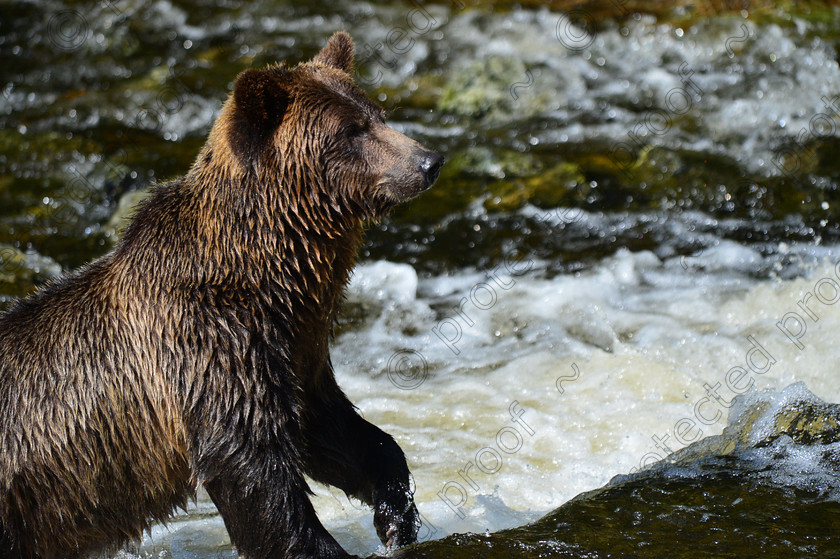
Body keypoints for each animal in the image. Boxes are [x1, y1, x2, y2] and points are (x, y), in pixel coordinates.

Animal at [0, 31, 442, 559]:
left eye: (378, 113)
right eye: (350, 130)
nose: (429, 161)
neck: (269, 270)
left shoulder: (294, 346)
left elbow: (329, 428)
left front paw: (397, 515)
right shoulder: (211, 341)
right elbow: (250, 468)